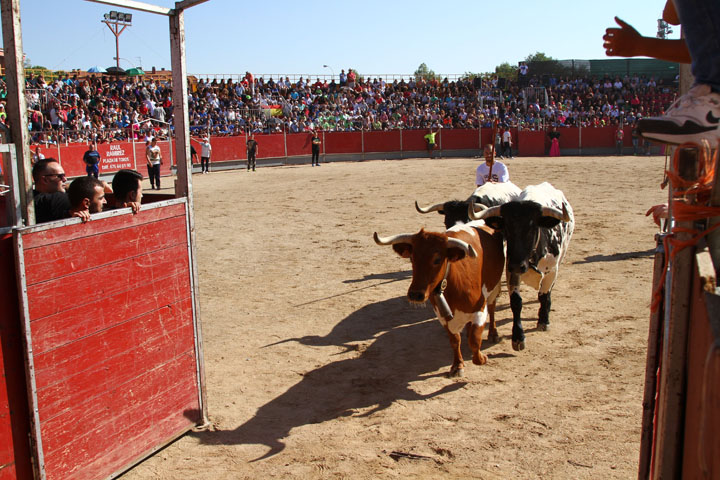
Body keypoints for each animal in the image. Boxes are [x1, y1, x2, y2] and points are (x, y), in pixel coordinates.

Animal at [374, 219, 504, 376]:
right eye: (412, 258)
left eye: (437, 259)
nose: (415, 294)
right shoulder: (442, 316)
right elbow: (454, 340)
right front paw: (457, 365)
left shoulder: (480, 308)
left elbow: (475, 339)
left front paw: (482, 358)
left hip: (494, 287)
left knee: (492, 308)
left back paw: (493, 333)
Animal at [470, 180, 576, 348]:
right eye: (506, 227)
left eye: (532, 227)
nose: (517, 264)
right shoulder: (511, 271)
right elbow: (516, 302)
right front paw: (518, 336)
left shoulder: (552, 270)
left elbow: (544, 295)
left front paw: (543, 320)